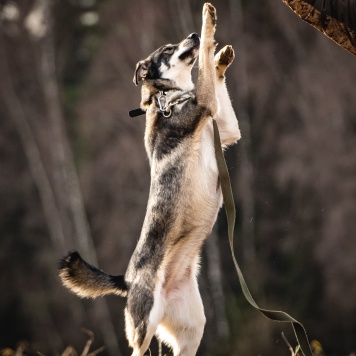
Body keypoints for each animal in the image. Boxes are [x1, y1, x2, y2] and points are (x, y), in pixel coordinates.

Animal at [59, 3, 241, 356]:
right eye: (167, 50)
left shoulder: (225, 129)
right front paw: (208, 23)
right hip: (143, 332)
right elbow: (205, 64)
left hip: (192, 331)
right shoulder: (206, 104)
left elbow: (213, 74)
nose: (191, 34)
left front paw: (221, 59)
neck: (168, 97)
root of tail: (127, 280)